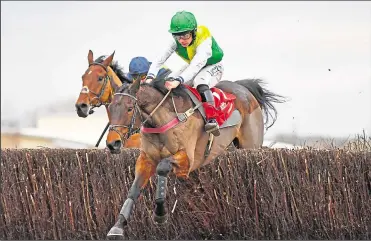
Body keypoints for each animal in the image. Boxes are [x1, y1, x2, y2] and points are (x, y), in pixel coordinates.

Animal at [105, 51, 288, 236]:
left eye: (129, 108)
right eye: (110, 108)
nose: (113, 144)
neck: (162, 120)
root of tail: (244, 89)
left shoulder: (188, 160)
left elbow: (162, 167)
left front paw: (160, 215)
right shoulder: (146, 159)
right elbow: (134, 189)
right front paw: (117, 226)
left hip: (251, 146)